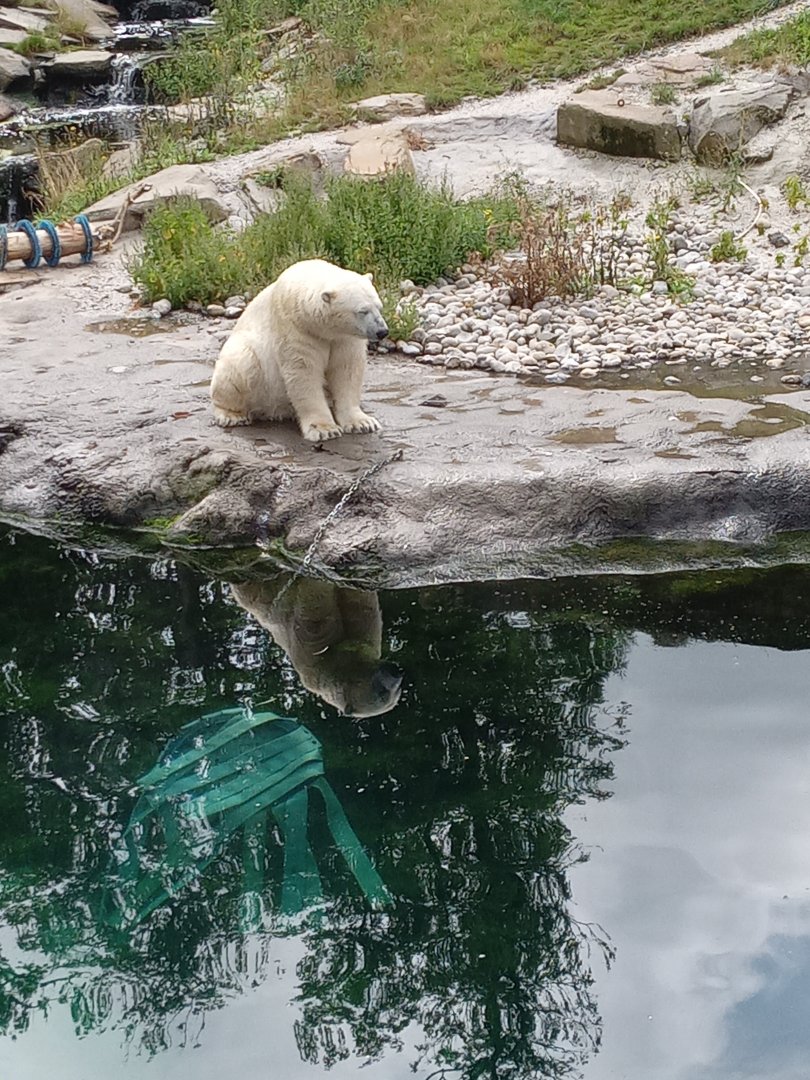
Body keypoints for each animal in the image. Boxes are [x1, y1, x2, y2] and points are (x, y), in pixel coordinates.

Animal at [209, 258, 389, 442]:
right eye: (362, 311)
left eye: (379, 307)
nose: (382, 331)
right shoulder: (296, 328)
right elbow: (304, 372)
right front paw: (325, 429)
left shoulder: (344, 338)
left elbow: (347, 370)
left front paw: (363, 423)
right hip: (246, 356)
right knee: (240, 365)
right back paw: (232, 415)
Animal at [230, 577, 403, 718]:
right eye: (382, 692)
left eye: (398, 690)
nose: (396, 671)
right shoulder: (312, 655)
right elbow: (314, 610)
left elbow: (359, 604)